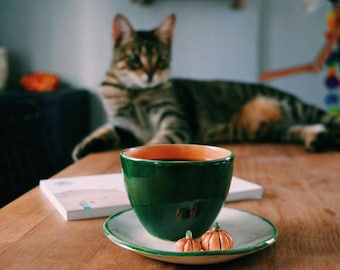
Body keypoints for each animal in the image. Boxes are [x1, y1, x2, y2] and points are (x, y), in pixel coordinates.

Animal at [71, 13, 340, 160]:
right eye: (135, 58)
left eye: (161, 59)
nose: (149, 74)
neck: (134, 94)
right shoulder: (123, 126)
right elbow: (102, 132)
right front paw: (83, 147)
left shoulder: (175, 122)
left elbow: (155, 143)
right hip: (276, 128)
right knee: (303, 128)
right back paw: (315, 138)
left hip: (294, 107)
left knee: (328, 121)